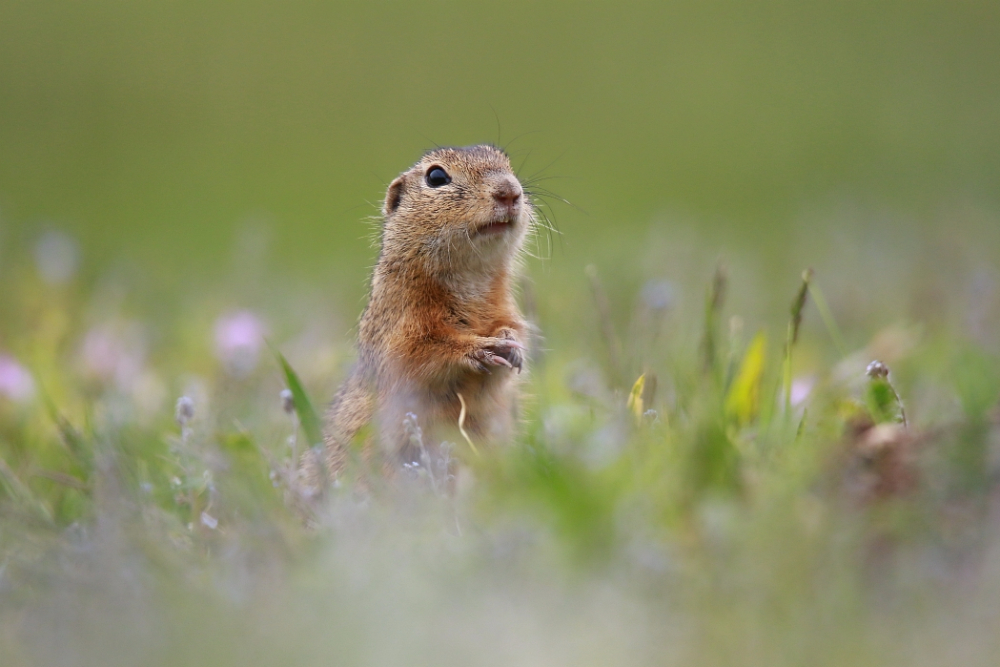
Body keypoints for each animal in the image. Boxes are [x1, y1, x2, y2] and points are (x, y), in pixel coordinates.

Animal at [324, 146, 536, 480]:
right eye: (436, 177)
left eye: (507, 163)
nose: (509, 191)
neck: (469, 279)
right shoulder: (400, 326)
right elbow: (423, 352)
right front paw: (481, 348)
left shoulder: (506, 309)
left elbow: (512, 330)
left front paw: (511, 345)